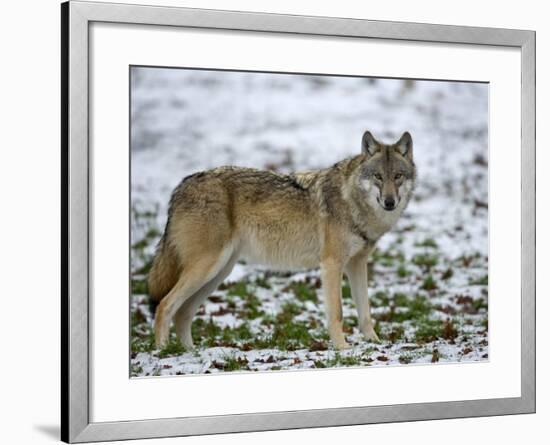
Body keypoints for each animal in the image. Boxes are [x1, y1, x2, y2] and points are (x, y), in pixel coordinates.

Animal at [149, 130, 416, 348]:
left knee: (183, 313)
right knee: (164, 306)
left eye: (398, 176)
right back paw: (164, 354)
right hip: (207, 268)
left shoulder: (357, 264)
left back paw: (190, 353)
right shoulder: (332, 264)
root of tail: (181, 187)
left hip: (218, 273)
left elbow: (365, 312)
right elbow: (337, 313)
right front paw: (342, 349)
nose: (390, 202)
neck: (352, 201)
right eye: (378, 176)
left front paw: (375, 343)